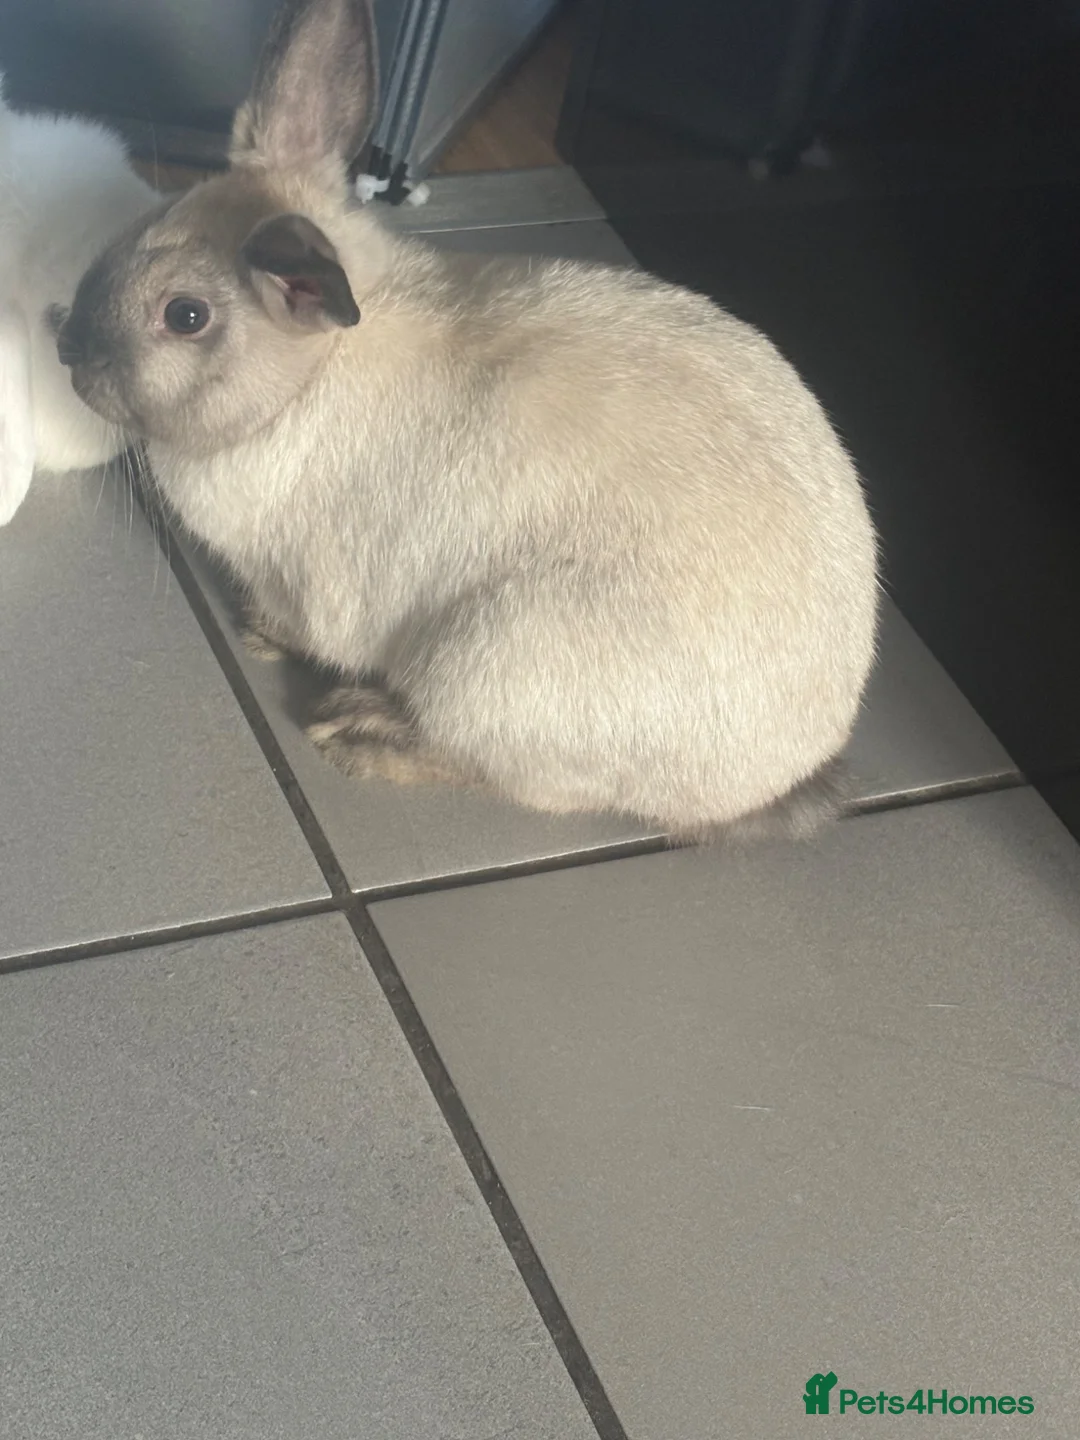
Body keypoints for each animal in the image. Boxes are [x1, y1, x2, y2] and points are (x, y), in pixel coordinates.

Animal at [57, 0, 878, 842]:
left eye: (186, 316)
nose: (68, 347)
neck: (312, 374)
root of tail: (770, 779)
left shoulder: (308, 579)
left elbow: (305, 623)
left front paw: (261, 633)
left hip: (493, 664)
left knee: (505, 778)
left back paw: (360, 733)